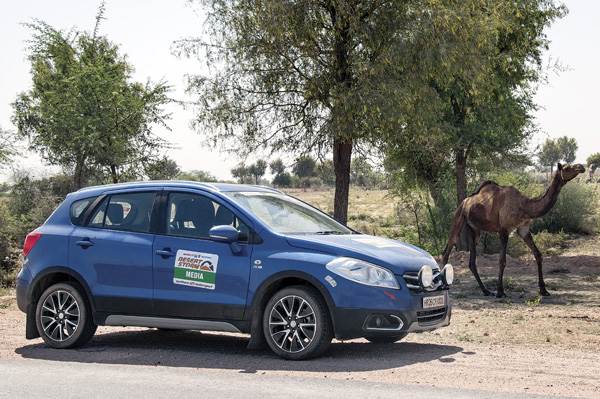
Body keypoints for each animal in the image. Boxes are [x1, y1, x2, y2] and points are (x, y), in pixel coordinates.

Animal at [440, 162, 584, 296]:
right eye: (567, 168)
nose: (581, 167)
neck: (524, 206)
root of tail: (465, 202)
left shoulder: (523, 229)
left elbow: (538, 255)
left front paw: (543, 290)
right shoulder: (504, 230)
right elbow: (502, 260)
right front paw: (500, 291)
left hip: (474, 229)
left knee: (471, 261)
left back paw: (486, 291)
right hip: (458, 218)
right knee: (447, 251)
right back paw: (444, 286)